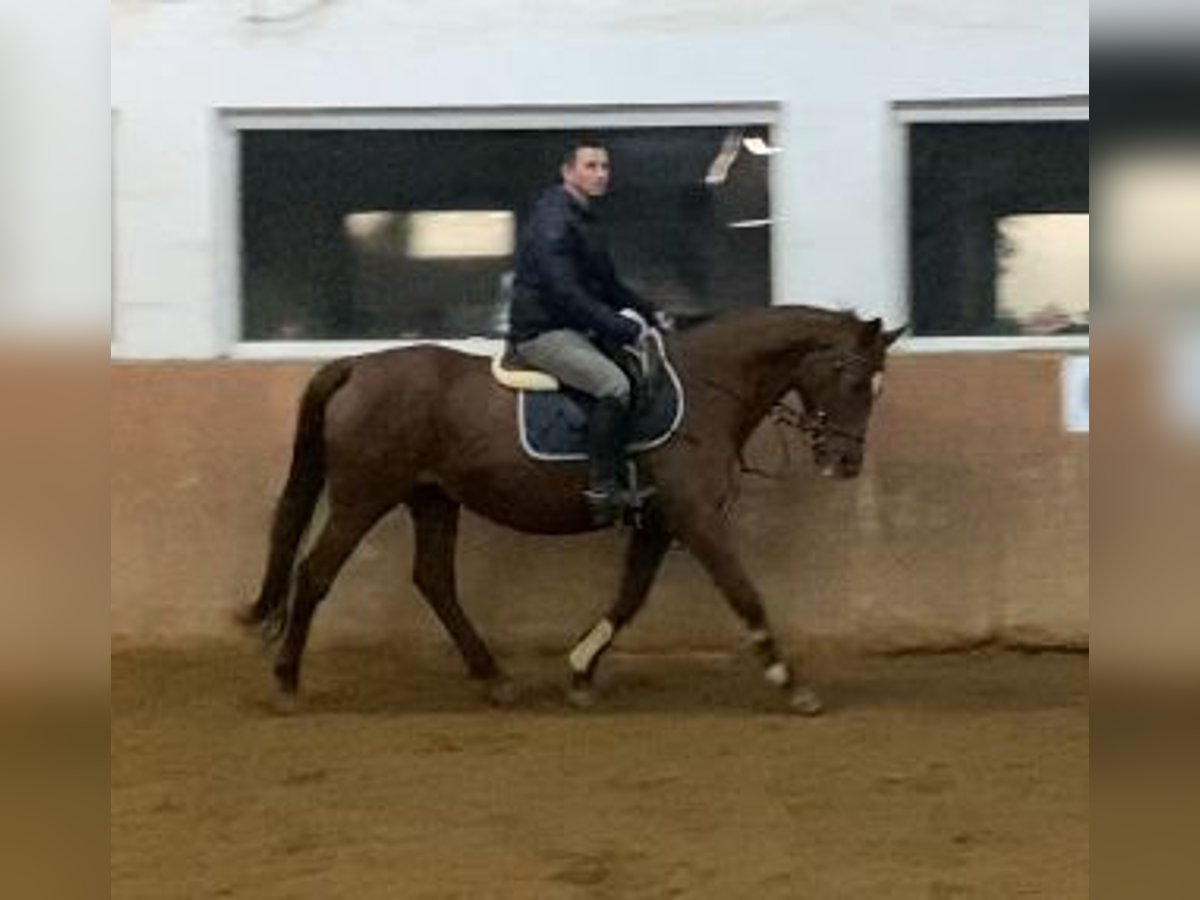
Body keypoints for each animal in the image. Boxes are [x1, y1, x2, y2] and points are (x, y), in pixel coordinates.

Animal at [241, 307, 902, 715]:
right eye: (850, 377)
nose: (846, 462)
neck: (706, 389)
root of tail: (357, 365)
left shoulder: (659, 522)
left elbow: (629, 598)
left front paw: (582, 671)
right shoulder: (696, 518)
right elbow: (745, 596)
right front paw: (793, 685)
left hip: (433, 499)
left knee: (433, 580)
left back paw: (494, 679)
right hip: (364, 497)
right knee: (316, 574)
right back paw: (287, 682)